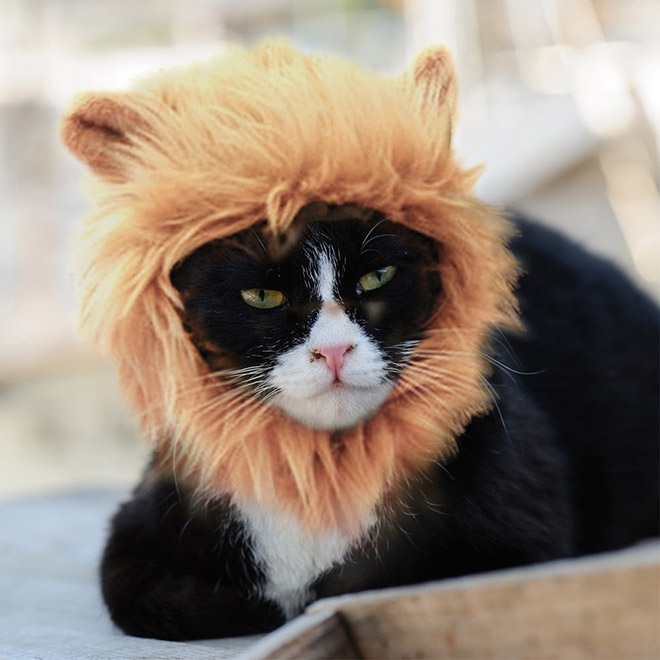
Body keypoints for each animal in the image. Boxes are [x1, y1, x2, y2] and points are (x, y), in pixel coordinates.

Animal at [59, 41, 656, 640]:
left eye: (377, 276)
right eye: (261, 296)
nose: (334, 351)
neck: (322, 473)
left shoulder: (518, 539)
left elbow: (383, 581)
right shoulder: (140, 524)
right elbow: (137, 595)